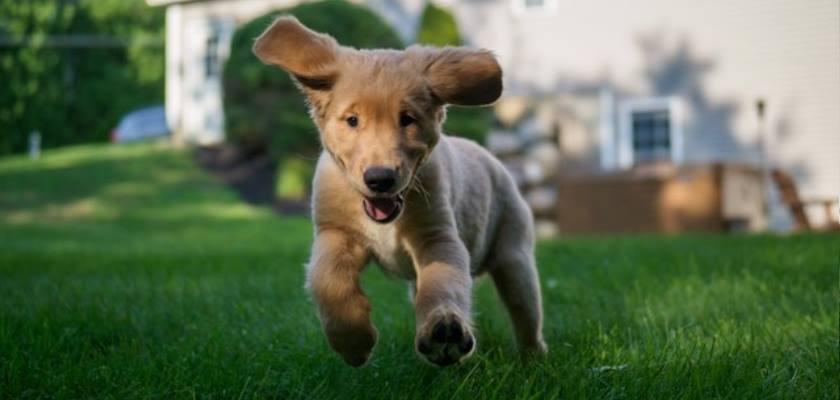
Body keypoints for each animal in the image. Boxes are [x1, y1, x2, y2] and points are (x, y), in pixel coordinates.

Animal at [253, 16, 548, 366]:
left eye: (407, 119)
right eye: (352, 120)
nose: (380, 179)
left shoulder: (438, 237)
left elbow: (442, 283)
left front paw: (444, 331)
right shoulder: (334, 233)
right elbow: (329, 281)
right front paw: (353, 341)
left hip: (514, 255)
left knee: (525, 310)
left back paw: (533, 357)